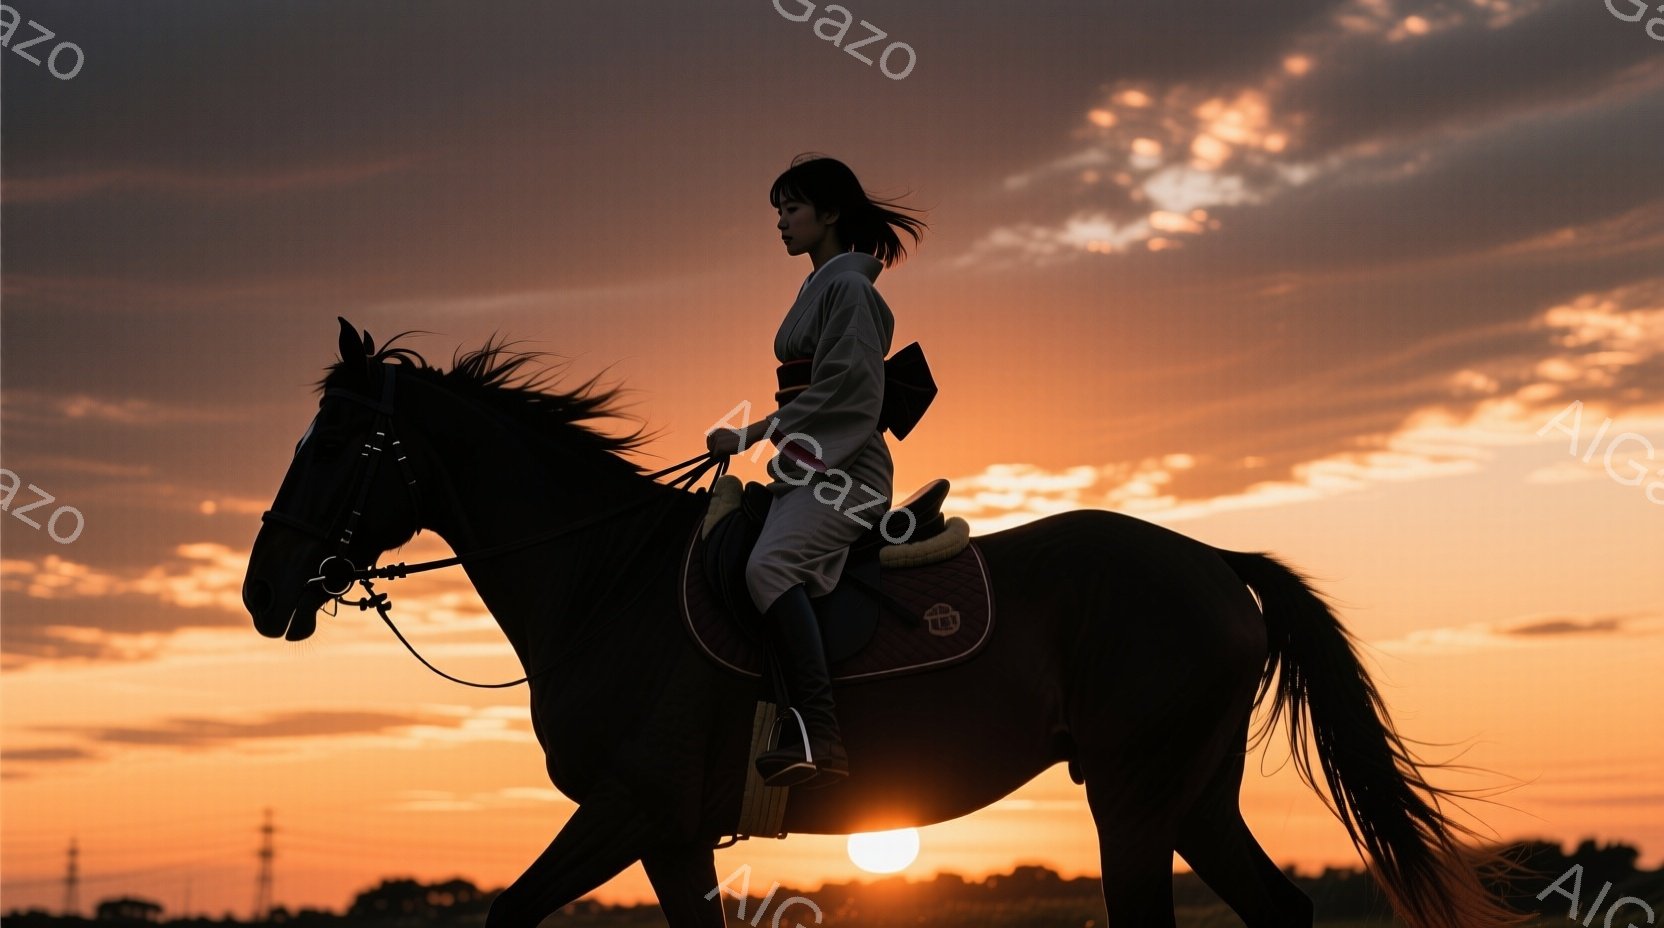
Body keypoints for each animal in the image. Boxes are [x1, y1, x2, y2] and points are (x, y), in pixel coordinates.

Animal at [241, 318, 1519, 928]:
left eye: (342, 443)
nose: (261, 591)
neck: (605, 581)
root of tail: (1213, 562)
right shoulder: (668, 833)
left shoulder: (631, 808)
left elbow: (509, 909)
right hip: (1193, 795)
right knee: (1280, 905)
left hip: (1134, 796)